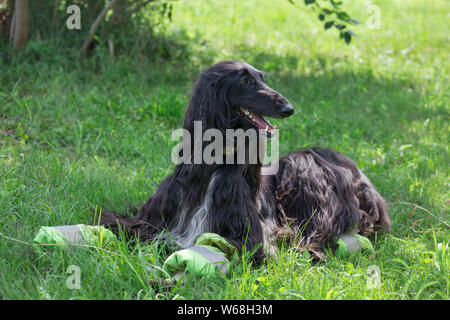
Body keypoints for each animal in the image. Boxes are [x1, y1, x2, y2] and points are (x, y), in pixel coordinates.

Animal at [100, 60, 388, 262]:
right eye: (245, 80)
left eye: (261, 78)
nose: (289, 109)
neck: (217, 163)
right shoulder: (152, 218)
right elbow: (116, 223)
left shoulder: (250, 237)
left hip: (303, 167)